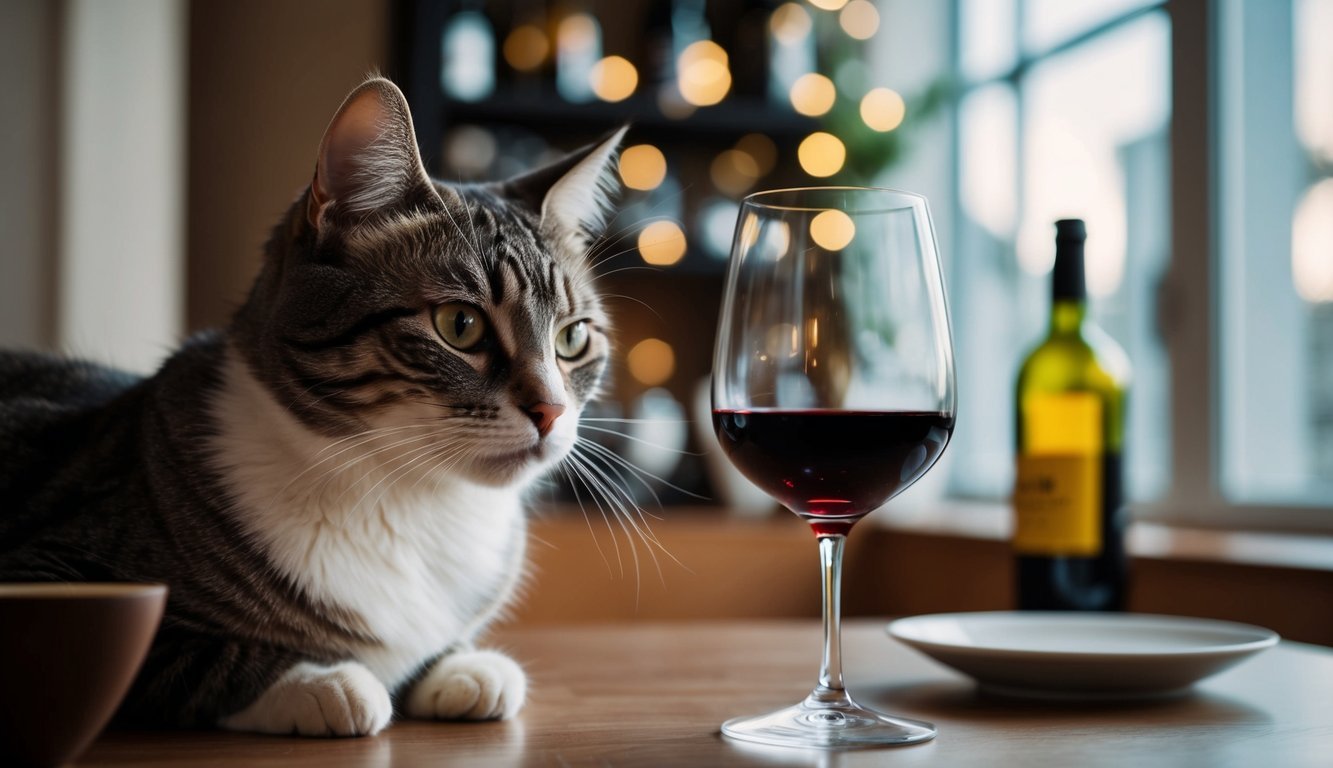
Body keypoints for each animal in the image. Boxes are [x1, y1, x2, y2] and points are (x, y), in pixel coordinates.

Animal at [0, 78, 623, 736]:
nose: (551, 411)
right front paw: (322, 683)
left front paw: (462, 668)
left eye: (572, 339)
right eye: (461, 325)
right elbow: (186, 654)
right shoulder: (49, 567)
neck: (408, 499)